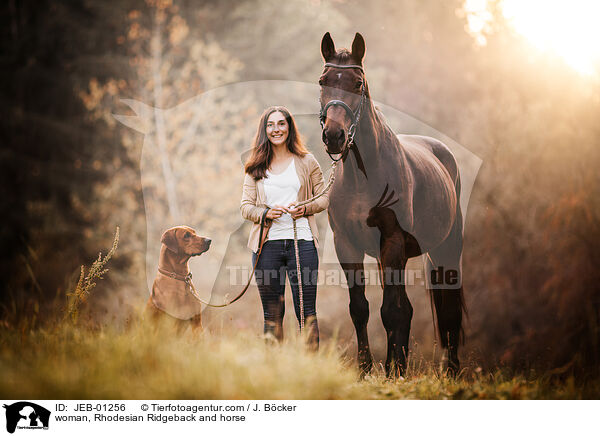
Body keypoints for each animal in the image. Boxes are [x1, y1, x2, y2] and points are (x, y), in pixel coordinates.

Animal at [318, 32, 464, 376]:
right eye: (323, 81)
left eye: (358, 83)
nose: (334, 136)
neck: (364, 176)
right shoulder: (347, 245)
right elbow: (361, 308)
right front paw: (366, 369)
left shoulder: (393, 242)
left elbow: (391, 310)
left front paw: (393, 371)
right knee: (407, 308)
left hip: (447, 249)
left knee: (448, 309)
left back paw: (450, 370)